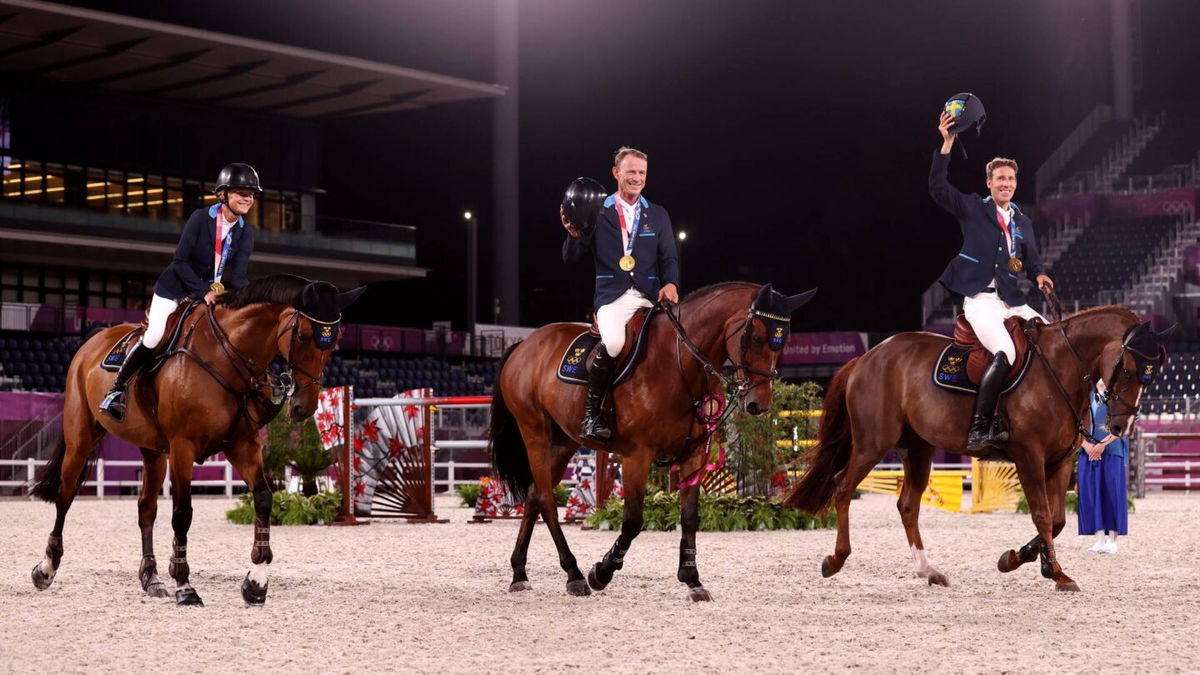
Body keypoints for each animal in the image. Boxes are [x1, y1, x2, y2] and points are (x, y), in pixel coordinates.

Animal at [28, 273, 362, 605]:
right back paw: (46, 568)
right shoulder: (182, 448)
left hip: (152, 450)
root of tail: (94, 339)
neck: (225, 356)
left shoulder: (242, 445)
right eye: (303, 336)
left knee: (146, 507)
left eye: (334, 342)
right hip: (81, 439)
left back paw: (151, 579)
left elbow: (264, 498)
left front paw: (256, 581)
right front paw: (185, 585)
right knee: (65, 495)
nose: (304, 407)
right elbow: (182, 513)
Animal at [487, 281, 816, 595]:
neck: (679, 363)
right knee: (546, 500)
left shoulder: (694, 453)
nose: (759, 404)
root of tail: (524, 344)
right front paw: (602, 572)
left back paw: (519, 573)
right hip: (535, 434)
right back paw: (575, 574)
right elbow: (633, 520)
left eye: (783, 342)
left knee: (533, 497)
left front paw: (692, 579)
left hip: (563, 442)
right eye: (756, 337)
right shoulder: (637, 454)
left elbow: (689, 515)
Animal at [782, 303, 1166, 588]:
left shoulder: (1060, 461)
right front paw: (1054, 572)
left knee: (907, 505)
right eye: (1128, 369)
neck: (1059, 368)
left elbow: (1056, 520)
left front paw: (1016, 559)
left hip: (918, 448)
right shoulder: (1029, 456)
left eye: (1152, 376)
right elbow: (1043, 514)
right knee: (843, 487)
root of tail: (867, 357)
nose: (1120, 426)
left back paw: (928, 570)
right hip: (873, 443)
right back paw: (835, 560)